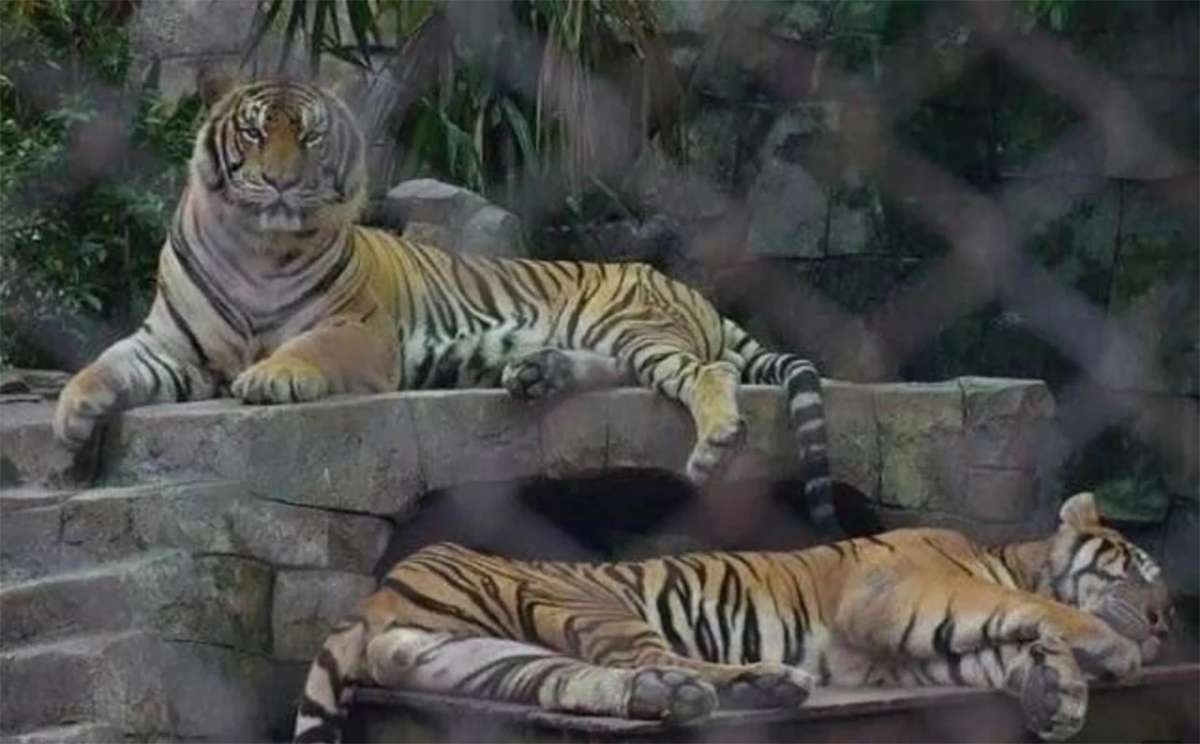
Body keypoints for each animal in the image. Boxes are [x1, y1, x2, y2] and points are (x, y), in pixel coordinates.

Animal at [51, 78, 841, 536]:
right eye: (253, 132)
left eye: (307, 135)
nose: (278, 183)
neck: (256, 245)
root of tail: (687, 288)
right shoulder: (170, 344)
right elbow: (104, 363)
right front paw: (71, 421)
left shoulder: (361, 333)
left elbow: (307, 347)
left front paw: (271, 377)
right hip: (619, 340)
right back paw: (535, 374)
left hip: (632, 323)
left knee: (708, 373)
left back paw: (713, 442)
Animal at [292, 492, 1172, 743]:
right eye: (1140, 570)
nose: (1168, 622)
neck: (1011, 553)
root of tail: (375, 593)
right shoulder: (901, 596)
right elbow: (1027, 609)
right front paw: (1107, 650)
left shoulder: (907, 655)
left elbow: (1009, 649)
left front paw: (1056, 691)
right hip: (592, 605)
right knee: (652, 659)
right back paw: (759, 686)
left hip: (475, 656)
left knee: (585, 684)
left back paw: (714, 697)